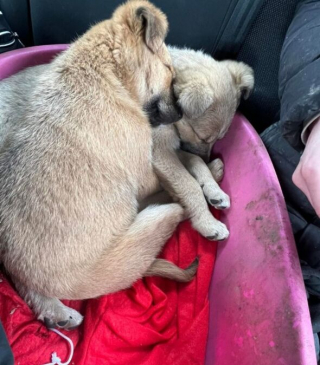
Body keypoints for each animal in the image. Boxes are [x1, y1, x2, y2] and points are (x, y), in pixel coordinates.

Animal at [0, 0, 196, 330]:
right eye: (169, 71)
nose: (182, 113)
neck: (106, 73)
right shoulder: (143, 171)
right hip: (147, 227)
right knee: (168, 208)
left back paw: (57, 313)